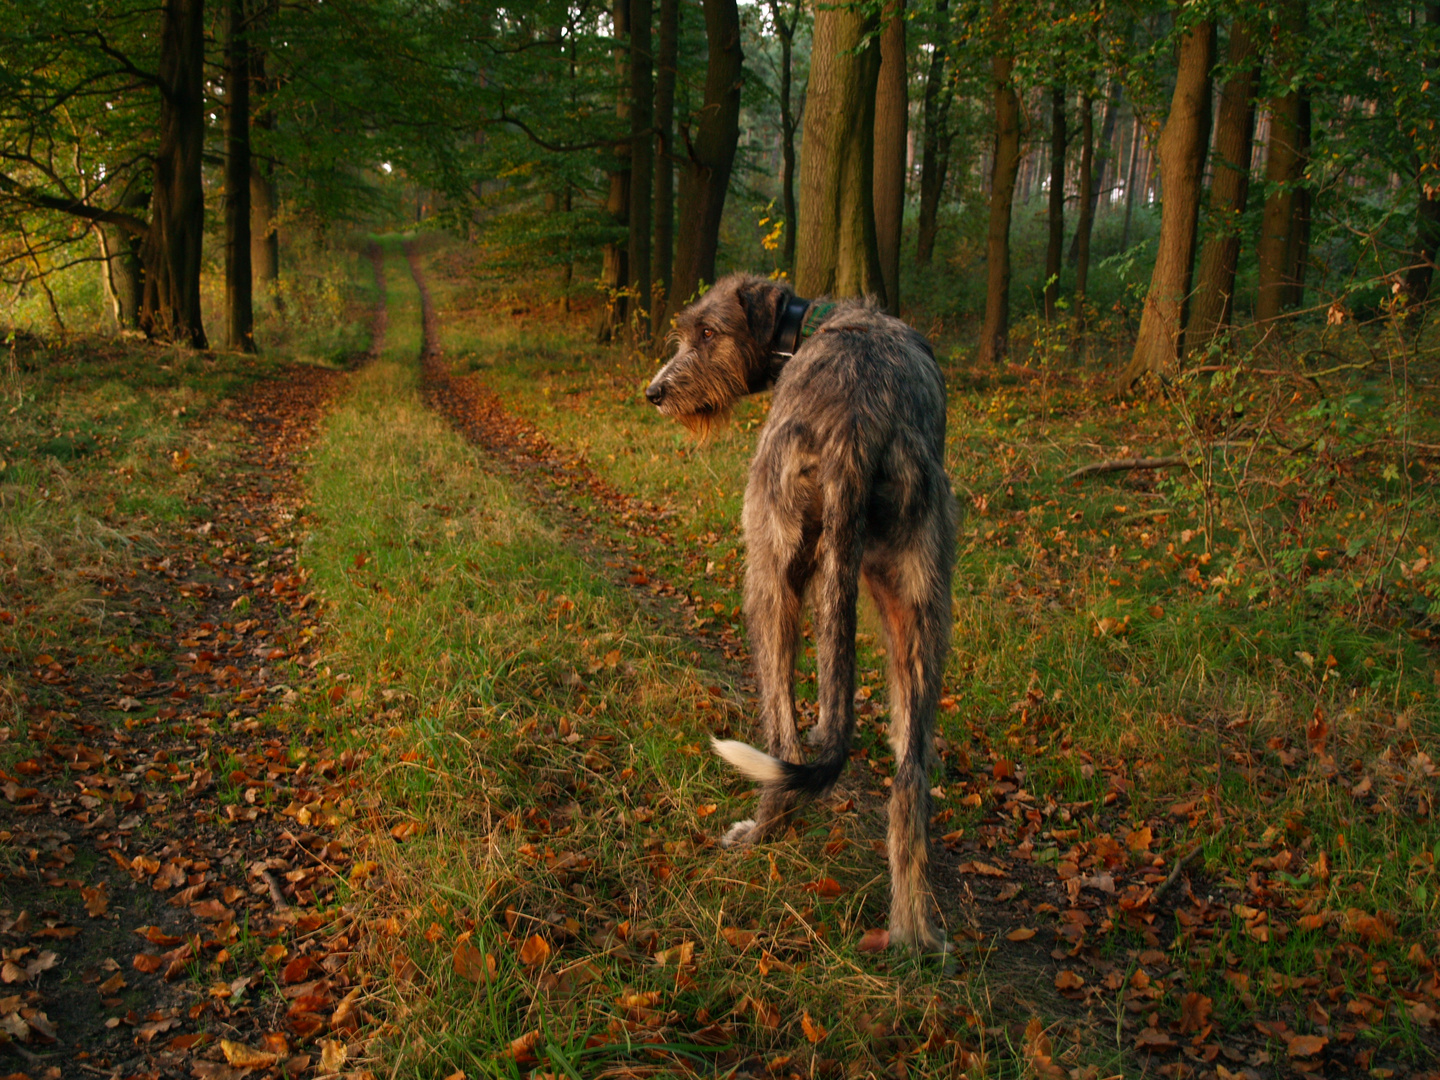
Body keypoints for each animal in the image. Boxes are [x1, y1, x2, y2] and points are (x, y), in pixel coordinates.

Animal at [642, 272, 956, 956]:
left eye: (706, 332)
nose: (653, 393)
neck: (805, 326)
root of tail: (860, 428)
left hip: (767, 567)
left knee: (779, 739)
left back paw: (761, 834)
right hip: (920, 600)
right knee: (911, 774)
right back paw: (912, 931)